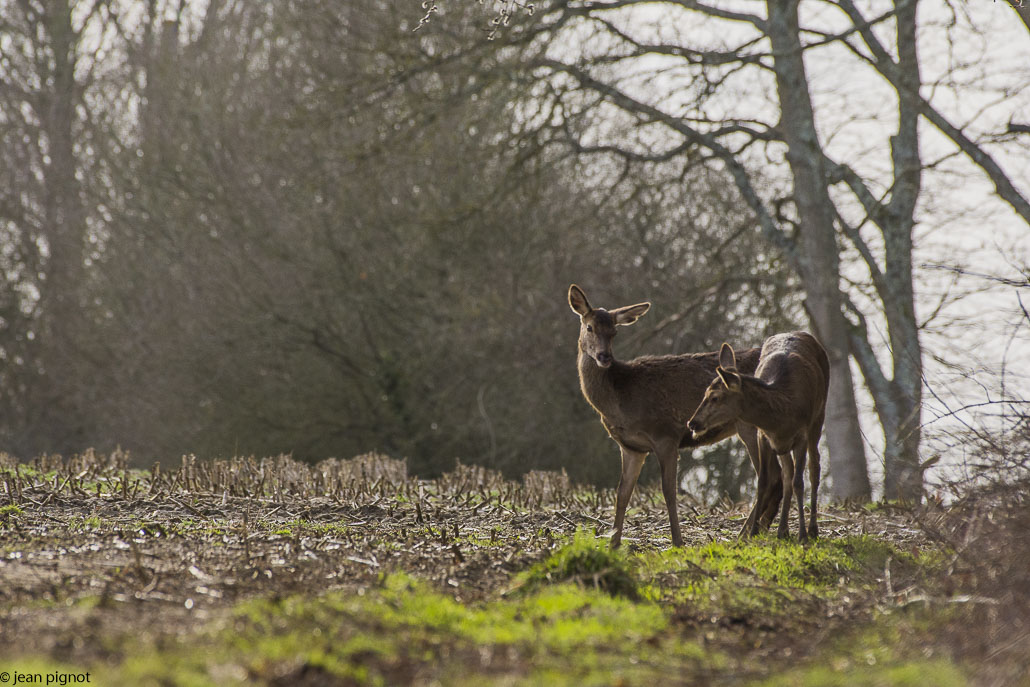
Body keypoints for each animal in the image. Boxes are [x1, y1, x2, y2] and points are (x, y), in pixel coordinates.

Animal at [572, 284, 778, 547]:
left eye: (614, 332)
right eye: (590, 327)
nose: (604, 357)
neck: (618, 401)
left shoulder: (666, 434)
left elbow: (669, 492)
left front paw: (678, 541)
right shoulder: (631, 447)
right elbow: (622, 493)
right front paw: (614, 544)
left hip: (750, 426)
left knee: (768, 477)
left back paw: (744, 534)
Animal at [683, 333, 828, 543]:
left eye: (715, 397)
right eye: (704, 393)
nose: (692, 423)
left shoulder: (801, 434)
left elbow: (799, 483)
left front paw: (802, 535)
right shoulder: (763, 436)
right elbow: (763, 482)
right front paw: (752, 533)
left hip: (818, 418)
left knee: (814, 468)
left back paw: (812, 530)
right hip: (783, 445)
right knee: (787, 473)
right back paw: (782, 530)